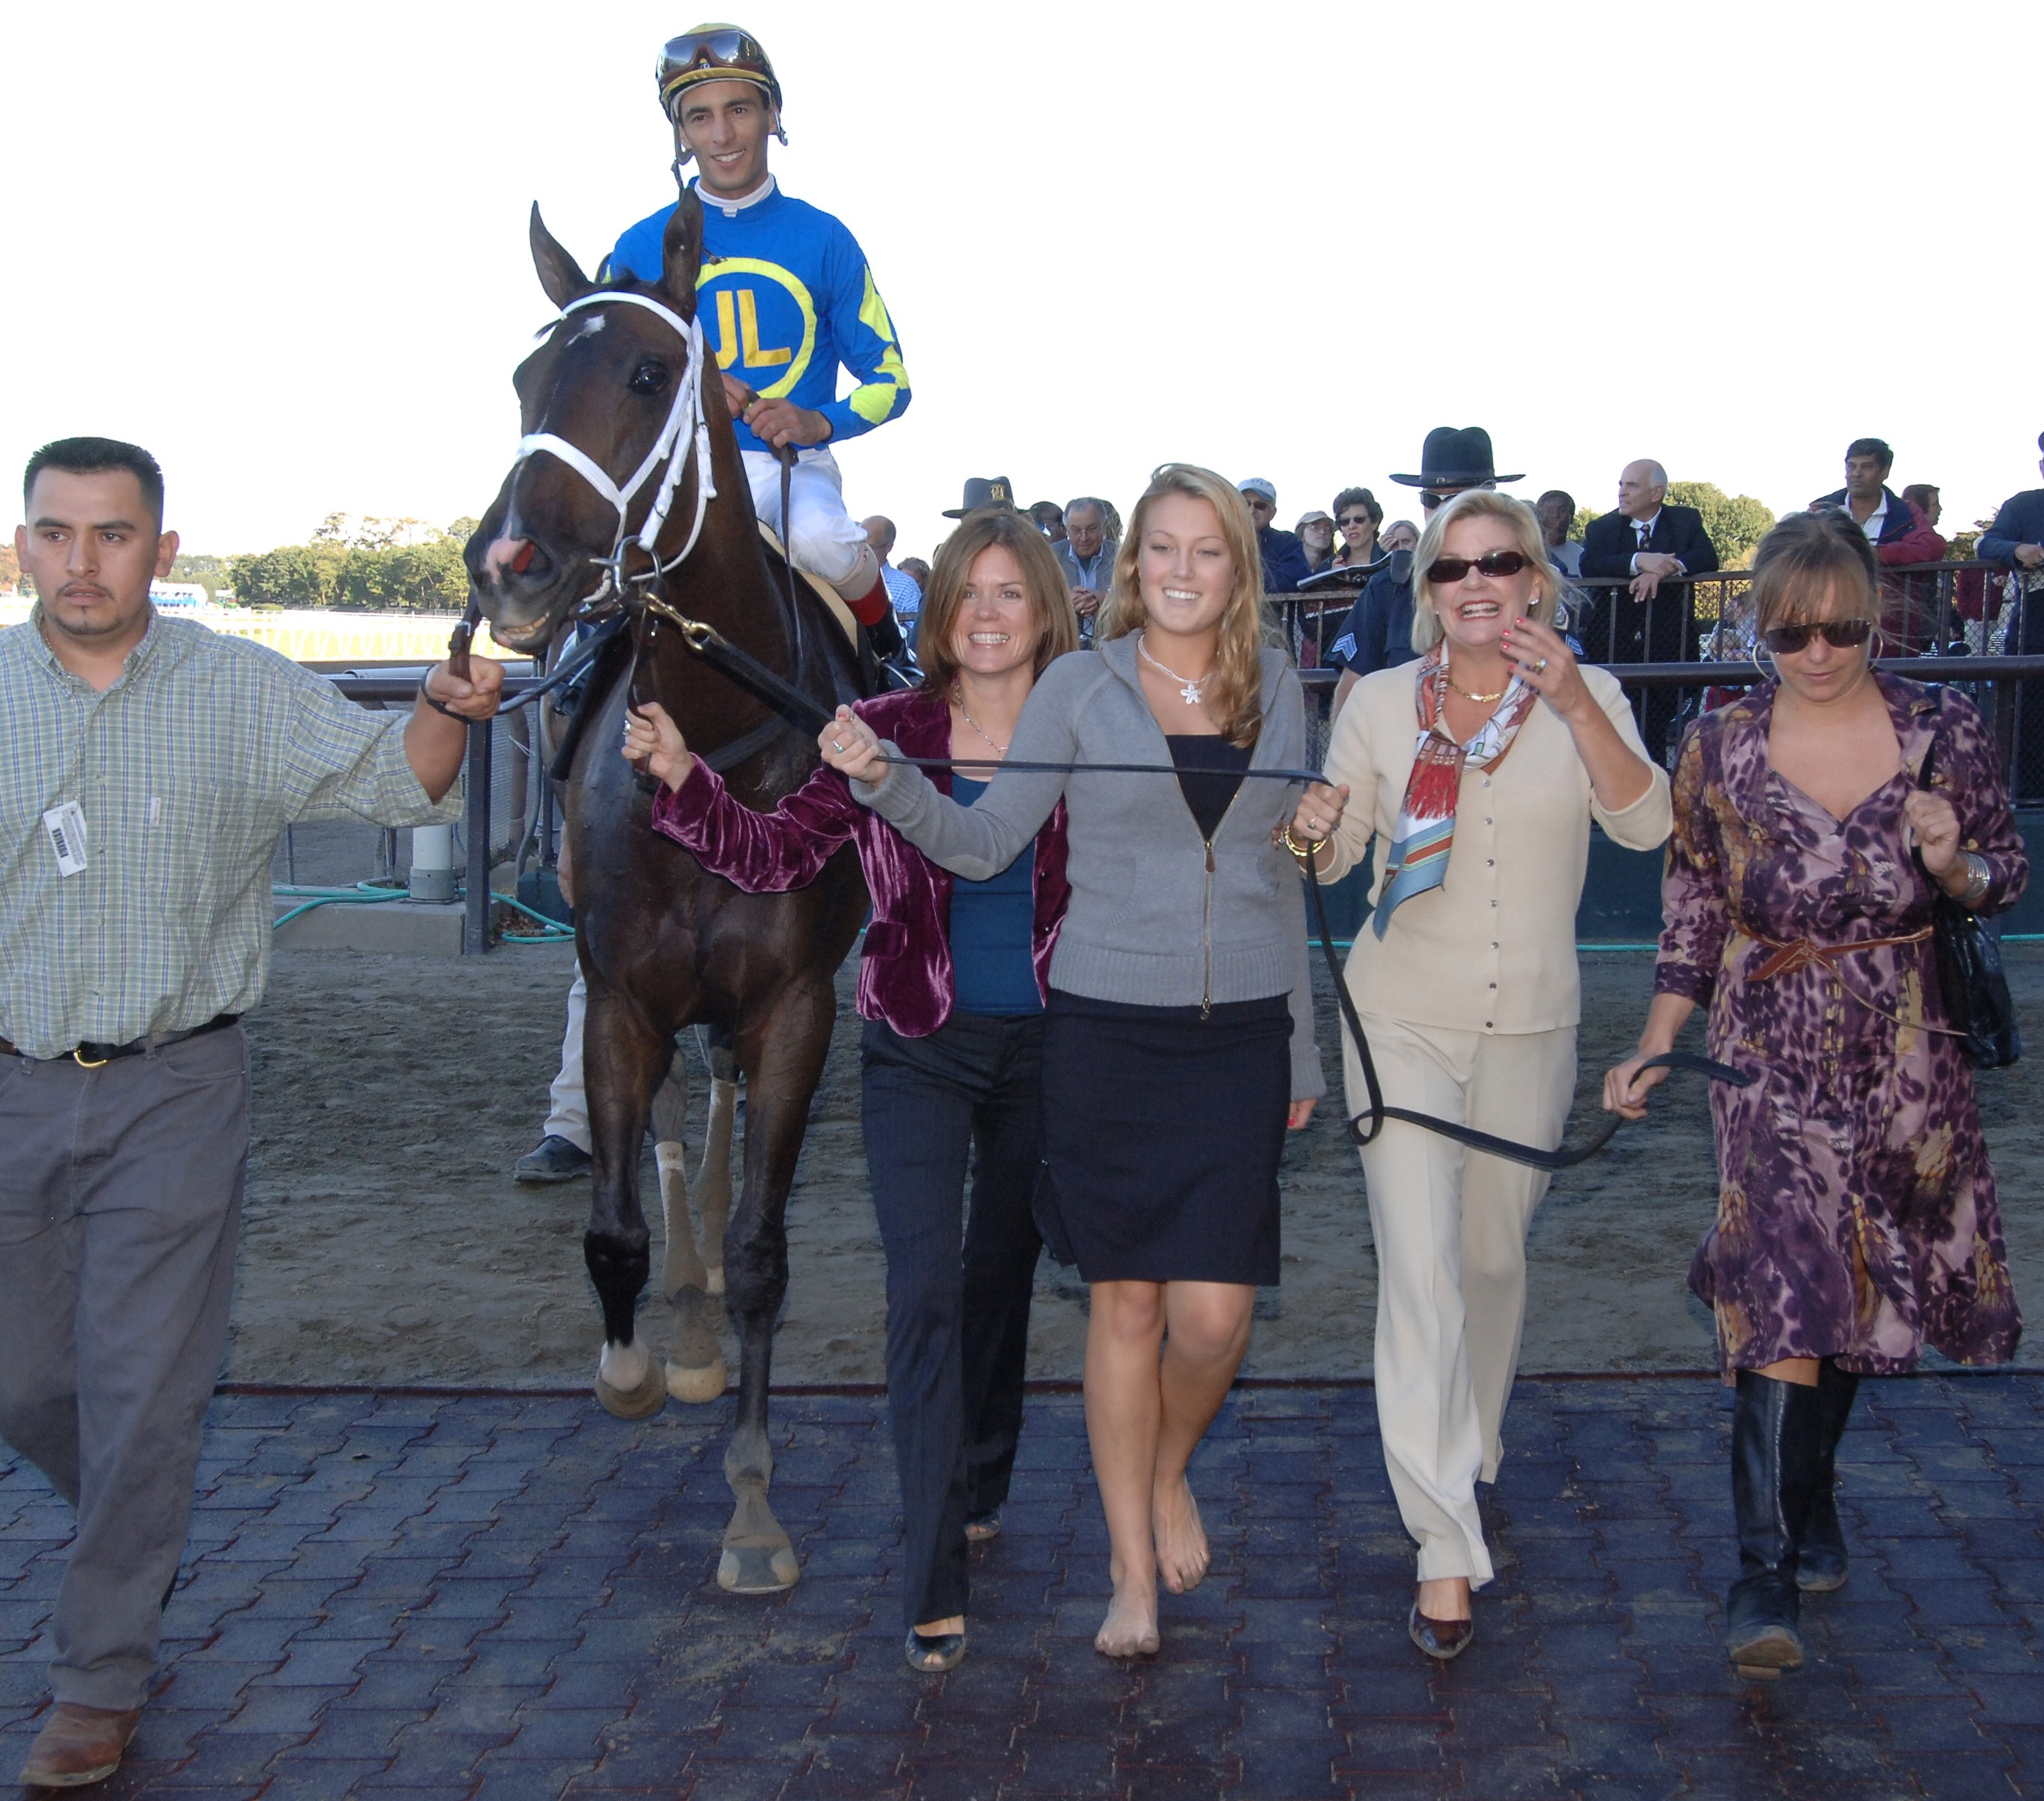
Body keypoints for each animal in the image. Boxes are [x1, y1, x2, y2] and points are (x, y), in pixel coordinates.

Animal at [464, 193, 870, 1586]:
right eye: (525, 376)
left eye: (647, 375)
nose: (508, 563)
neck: (714, 738)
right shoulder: (624, 992)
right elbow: (618, 1228)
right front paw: (638, 1367)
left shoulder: (796, 1003)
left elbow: (758, 1249)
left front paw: (752, 1508)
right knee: (676, 1135)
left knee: (722, 1118)